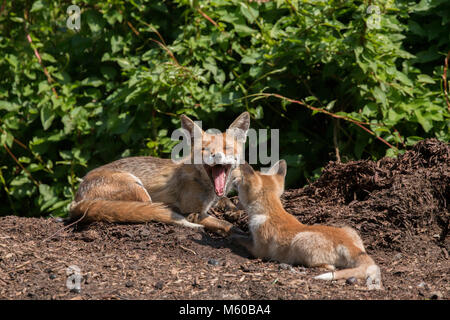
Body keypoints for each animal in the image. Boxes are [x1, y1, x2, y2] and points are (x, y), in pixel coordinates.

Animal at [69, 112, 250, 235]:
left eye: (226, 148)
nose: (216, 156)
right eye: (205, 149)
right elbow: (224, 225)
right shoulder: (193, 212)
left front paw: (233, 209)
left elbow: (227, 203)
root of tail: (77, 198)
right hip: (138, 189)